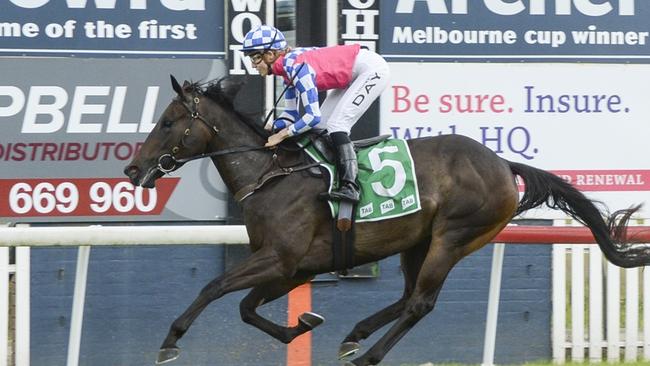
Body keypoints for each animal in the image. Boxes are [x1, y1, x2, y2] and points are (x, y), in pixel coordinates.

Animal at [123, 77, 648, 366]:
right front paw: (303, 326)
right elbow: (247, 308)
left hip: (452, 238)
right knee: (406, 297)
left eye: (168, 122)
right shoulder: (293, 266)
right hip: (417, 243)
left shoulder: (280, 258)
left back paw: (369, 354)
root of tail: (502, 163)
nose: (133, 169)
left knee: (420, 304)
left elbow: (215, 288)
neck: (271, 173)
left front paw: (169, 342)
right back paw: (353, 337)